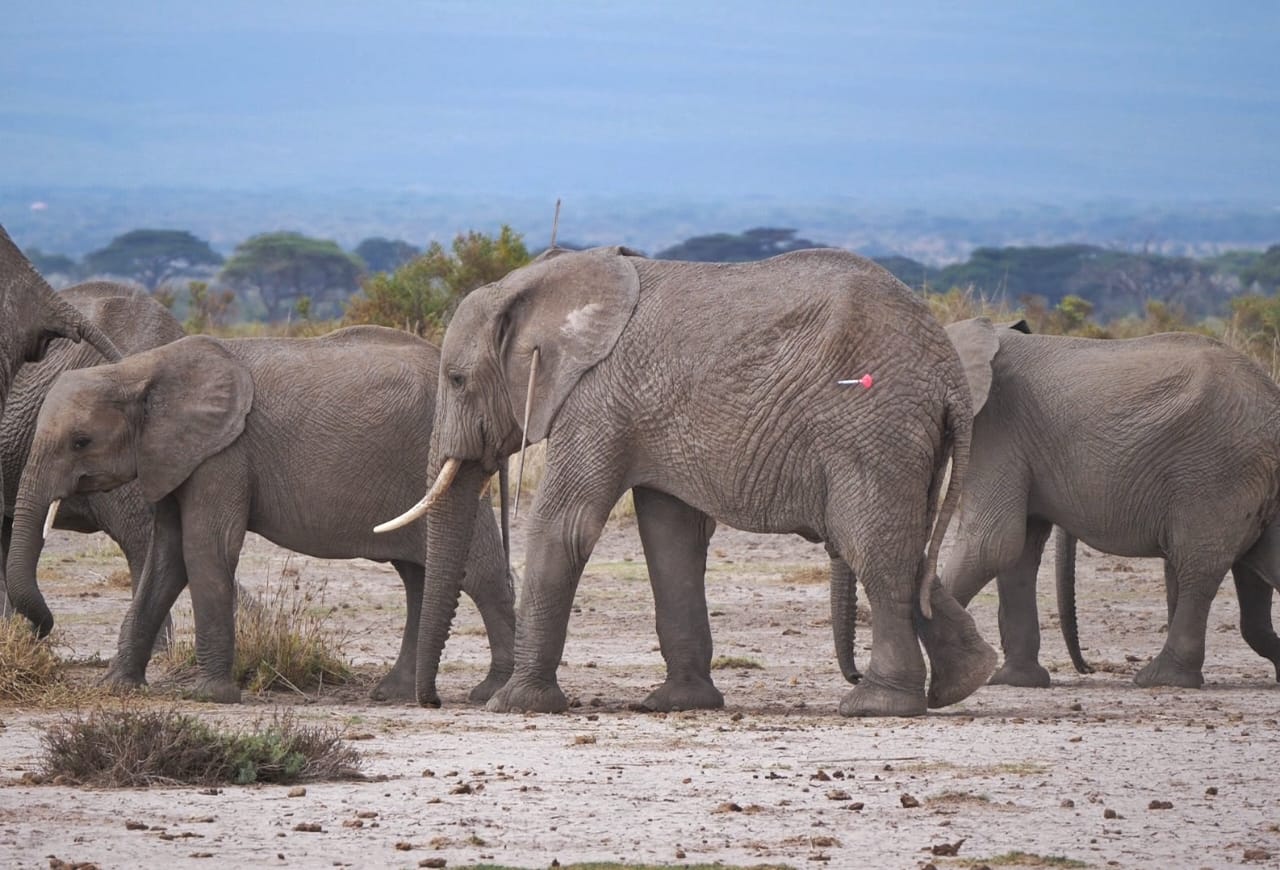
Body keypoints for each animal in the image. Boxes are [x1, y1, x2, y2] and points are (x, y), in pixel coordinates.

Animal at [8, 327, 516, 704]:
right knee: (417, 577)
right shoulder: (177, 456)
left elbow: (204, 549)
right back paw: (396, 694)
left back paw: (489, 692)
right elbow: (166, 558)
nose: (39, 630)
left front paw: (211, 697)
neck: (139, 369)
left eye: (80, 442)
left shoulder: (225, 453)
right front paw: (116, 687)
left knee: (480, 572)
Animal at [377, 245, 997, 717]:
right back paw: (966, 679)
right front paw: (679, 703)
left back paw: (875, 705)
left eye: (457, 380)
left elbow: (566, 527)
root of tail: (948, 373)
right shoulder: (641, 414)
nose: (431, 701)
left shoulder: (596, 399)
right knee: (901, 548)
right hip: (903, 436)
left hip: (871, 424)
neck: (537, 283)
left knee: (870, 545)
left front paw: (513, 704)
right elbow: (669, 538)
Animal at [941, 317, 1280, 689]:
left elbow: (992, 542)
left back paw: (1160, 679)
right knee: (1259, 565)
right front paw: (1015, 680)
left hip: (1216, 471)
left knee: (1198, 566)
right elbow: (1017, 551)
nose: (1087, 668)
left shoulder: (996, 428)